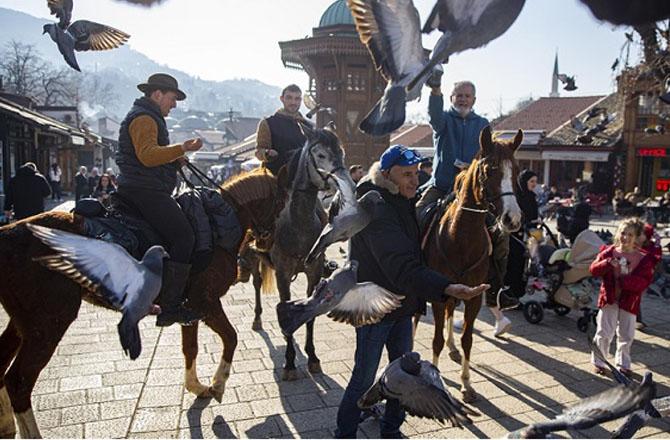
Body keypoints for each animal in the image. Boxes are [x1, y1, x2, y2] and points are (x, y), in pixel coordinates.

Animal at [0, 168, 286, 436]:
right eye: (282, 202)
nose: (271, 244)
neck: (217, 223)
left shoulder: (189, 308)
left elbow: (190, 348)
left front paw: (197, 386)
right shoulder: (207, 303)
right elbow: (231, 338)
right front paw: (218, 385)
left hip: (24, 321)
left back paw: (6, 425)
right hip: (48, 322)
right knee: (19, 381)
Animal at [422, 126, 524, 402]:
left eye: (517, 171)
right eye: (490, 170)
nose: (512, 219)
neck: (461, 237)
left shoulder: (474, 296)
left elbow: (467, 339)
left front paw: (466, 384)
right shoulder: (437, 295)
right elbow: (435, 340)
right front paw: (434, 376)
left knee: (450, 314)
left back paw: (452, 347)